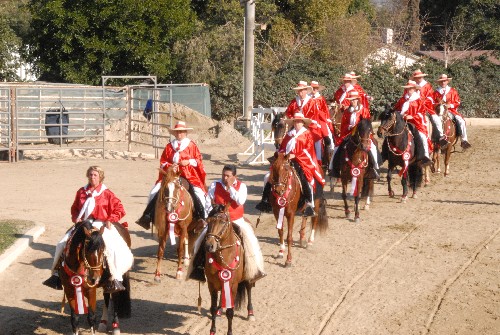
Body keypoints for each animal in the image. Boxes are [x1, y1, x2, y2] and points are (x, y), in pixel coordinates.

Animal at [205, 205, 256, 335]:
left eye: (223, 222)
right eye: (208, 221)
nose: (209, 245)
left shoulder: (232, 286)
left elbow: (230, 312)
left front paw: (229, 332)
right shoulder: (212, 285)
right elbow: (213, 309)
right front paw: (212, 330)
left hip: (247, 276)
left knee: (249, 288)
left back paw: (250, 313)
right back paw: (219, 311)